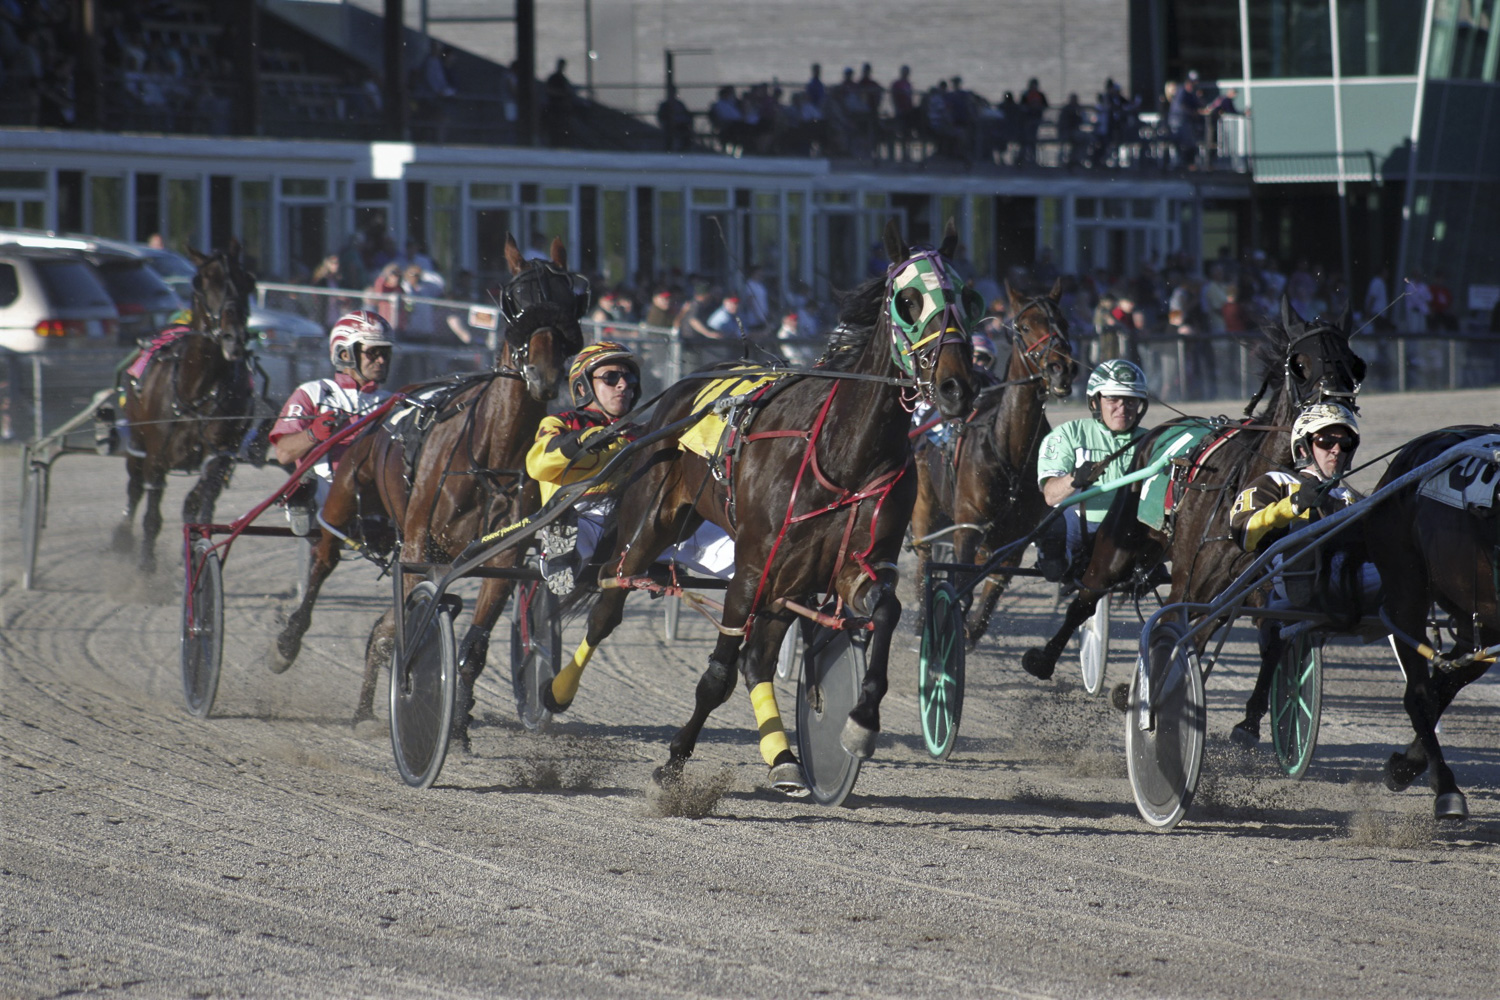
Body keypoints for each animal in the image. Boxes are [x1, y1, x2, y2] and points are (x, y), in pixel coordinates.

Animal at [115, 238, 256, 575]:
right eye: (202, 282)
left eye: (247, 281)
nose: (234, 338)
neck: (197, 392)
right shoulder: (155, 456)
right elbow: (152, 515)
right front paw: (146, 567)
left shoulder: (220, 455)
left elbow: (197, 502)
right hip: (137, 441)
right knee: (134, 486)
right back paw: (123, 536)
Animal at [270, 232, 585, 743]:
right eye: (515, 301)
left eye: (566, 299)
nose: (544, 375)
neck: (491, 454)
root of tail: (378, 414)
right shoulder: (420, 540)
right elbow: (407, 624)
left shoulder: (503, 556)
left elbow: (472, 644)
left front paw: (456, 722)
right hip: (344, 498)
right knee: (322, 561)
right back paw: (290, 642)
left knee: (387, 624)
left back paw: (366, 709)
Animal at [546, 220, 978, 797]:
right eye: (907, 301)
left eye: (968, 298)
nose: (957, 387)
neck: (844, 453)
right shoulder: (752, 567)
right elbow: (716, 676)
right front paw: (674, 761)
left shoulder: (855, 567)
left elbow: (886, 612)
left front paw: (859, 723)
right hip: (657, 520)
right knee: (609, 604)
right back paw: (558, 691)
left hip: (786, 580)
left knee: (760, 660)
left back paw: (784, 758)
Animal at [900, 281, 1080, 644]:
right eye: (1024, 327)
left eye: (1063, 324)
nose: (1061, 368)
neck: (1008, 449)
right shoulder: (968, 525)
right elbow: (961, 589)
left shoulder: (1015, 537)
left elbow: (991, 591)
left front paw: (969, 632)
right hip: (925, 507)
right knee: (925, 558)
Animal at [1362, 422, 1500, 821]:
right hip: (1406, 586)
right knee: (1420, 693)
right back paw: (1446, 788)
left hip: (1477, 613)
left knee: (1450, 677)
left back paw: (1406, 764)